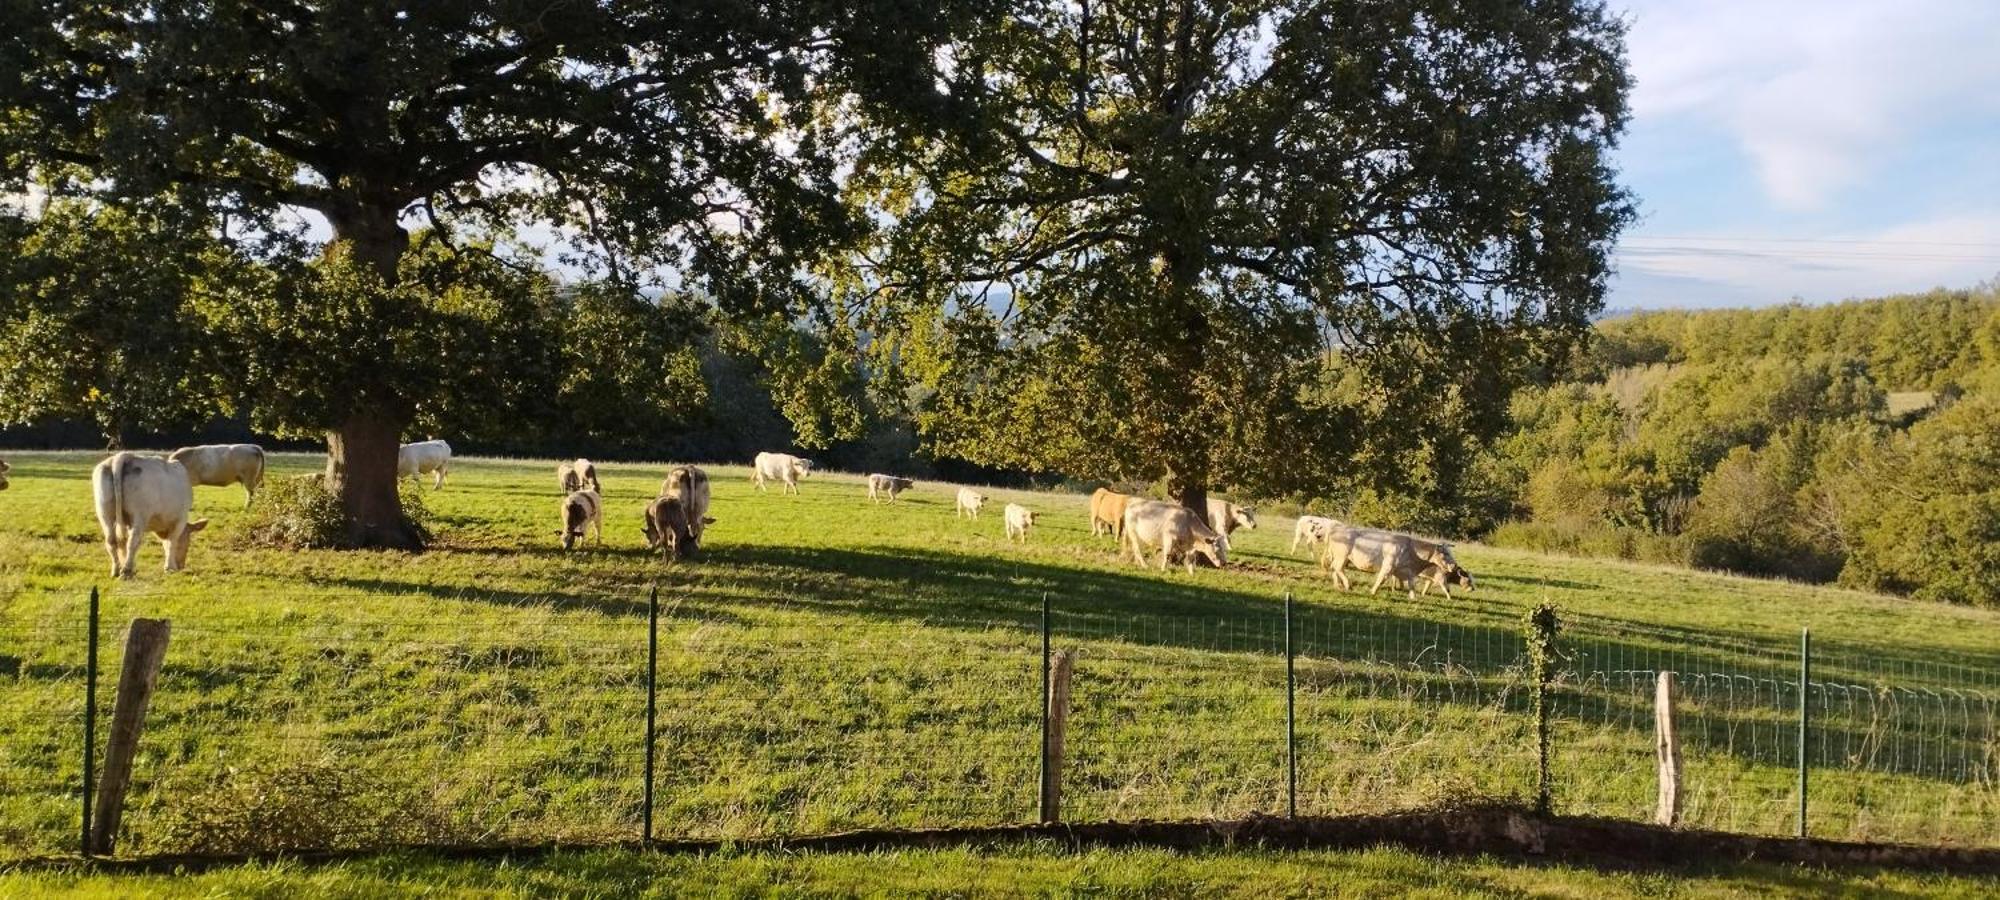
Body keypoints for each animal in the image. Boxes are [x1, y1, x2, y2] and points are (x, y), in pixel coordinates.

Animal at [1320, 524, 1480, 600]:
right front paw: (1373, 591)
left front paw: (1413, 597)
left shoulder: (1406, 571)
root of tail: (1336, 529)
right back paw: (1347, 585)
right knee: (1337, 568)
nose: (1454, 565)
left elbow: (1411, 584)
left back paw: (1338, 586)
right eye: (1445, 553)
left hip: (1340, 557)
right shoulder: (1388, 566)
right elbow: (1381, 579)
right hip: (1342, 556)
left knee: (1335, 569)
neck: (1412, 551)